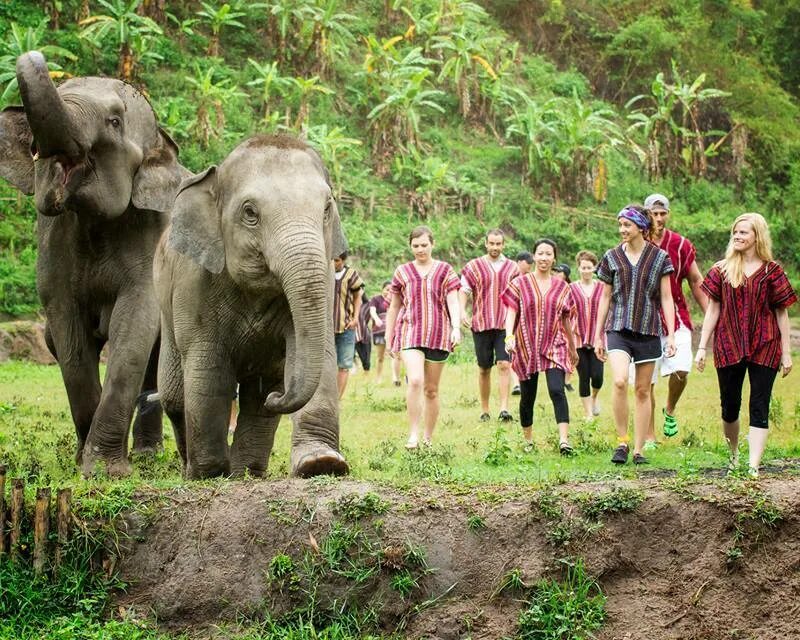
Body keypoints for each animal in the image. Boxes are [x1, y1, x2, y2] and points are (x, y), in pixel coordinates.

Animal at [0, 53, 187, 476]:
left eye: (115, 121)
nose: (34, 55)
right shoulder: (54, 245)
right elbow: (68, 336)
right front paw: (83, 463)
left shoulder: (150, 237)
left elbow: (133, 327)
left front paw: (104, 471)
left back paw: (148, 456)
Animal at [155, 132, 348, 478]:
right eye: (250, 213)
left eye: (327, 209)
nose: (278, 396)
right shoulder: (194, 283)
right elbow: (208, 364)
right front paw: (209, 473)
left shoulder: (324, 276)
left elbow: (321, 352)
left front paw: (322, 463)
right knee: (174, 396)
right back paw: (196, 467)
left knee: (257, 393)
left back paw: (247, 472)